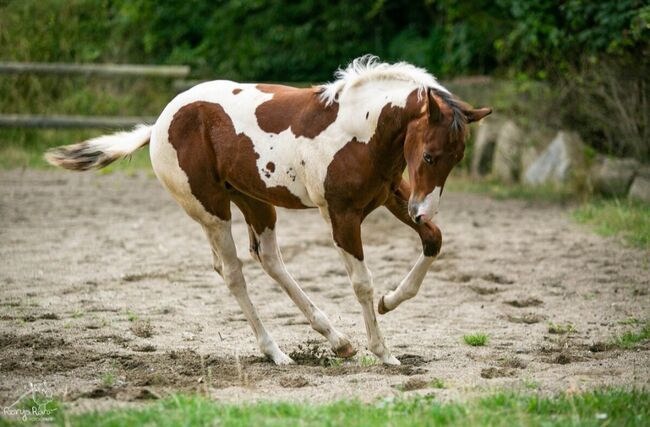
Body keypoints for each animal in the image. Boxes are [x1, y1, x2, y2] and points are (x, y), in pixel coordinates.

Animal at [45, 55, 488, 366]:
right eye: (429, 155)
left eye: (457, 157)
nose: (422, 210)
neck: (360, 131)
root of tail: (159, 124)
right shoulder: (342, 216)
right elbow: (362, 283)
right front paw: (384, 351)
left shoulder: (392, 195)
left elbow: (434, 241)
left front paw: (391, 301)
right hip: (212, 210)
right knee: (233, 272)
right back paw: (276, 352)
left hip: (255, 201)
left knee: (269, 258)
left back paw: (337, 341)